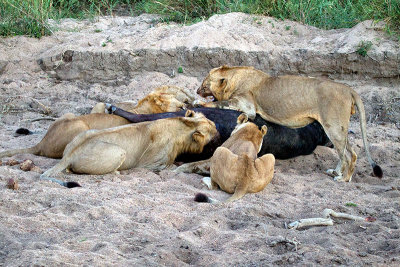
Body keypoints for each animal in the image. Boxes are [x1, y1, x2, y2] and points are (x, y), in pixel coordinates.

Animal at [0, 86, 194, 161]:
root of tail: (41, 143)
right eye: (180, 105)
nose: (188, 108)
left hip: (69, 115)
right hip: (80, 126)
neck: (143, 109)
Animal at [39, 111, 216, 188]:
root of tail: (69, 155)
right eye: (213, 129)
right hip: (119, 152)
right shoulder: (154, 164)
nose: (218, 130)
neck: (183, 125)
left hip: (84, 132)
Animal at [198, 65, 382, 182]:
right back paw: (337, 172)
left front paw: (199, 102)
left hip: (333, 126)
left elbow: (218, 103)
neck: (236, 78)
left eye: (204, 83)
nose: (197, 90)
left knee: (347, 155)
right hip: (339, 128)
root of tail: (349, 89)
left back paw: (342, 179)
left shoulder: (247, 106)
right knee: (351, 153)